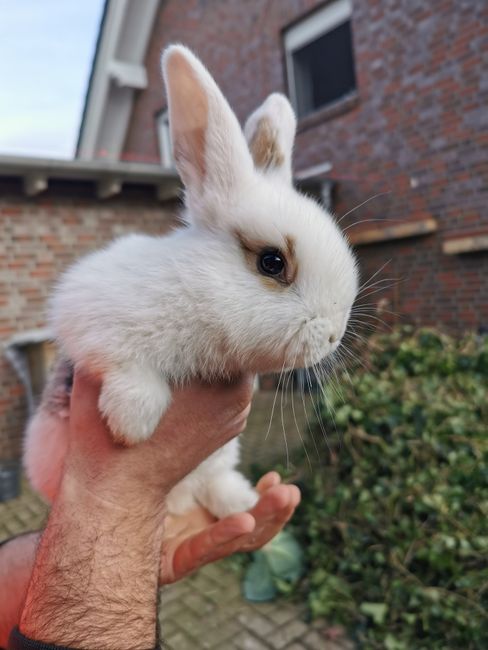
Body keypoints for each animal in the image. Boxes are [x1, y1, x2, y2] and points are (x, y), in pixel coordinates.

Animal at [23, 45, 359, 519]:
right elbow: (123, 362)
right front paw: (131, 423)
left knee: (212, 483)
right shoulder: (85, 312)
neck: (197, 296)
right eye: (272, 262)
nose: (333, 335)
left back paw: (240, 503)